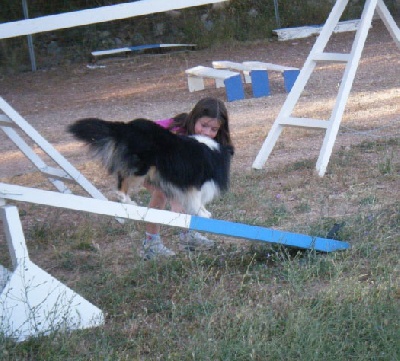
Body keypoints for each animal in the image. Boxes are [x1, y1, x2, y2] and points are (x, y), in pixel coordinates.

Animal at [67, 118, 233, 217]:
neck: (215, 153)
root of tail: (128, 126)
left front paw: (204, 212)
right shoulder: (195, 183)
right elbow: (196, 200)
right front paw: (202, 213)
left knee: (121, 176)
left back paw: (129, 201)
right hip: (142, 167)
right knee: (124, 179)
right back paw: (124, 197)